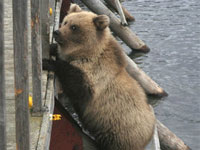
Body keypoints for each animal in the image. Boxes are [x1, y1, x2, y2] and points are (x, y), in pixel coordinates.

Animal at [43, 3, 156, 150]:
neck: (87, 53)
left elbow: (77, 85)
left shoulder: (96, 75)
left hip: (120, 134)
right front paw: (52, 47)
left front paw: (48, 62)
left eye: (74, 27)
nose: (57, 32)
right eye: (66, 21)